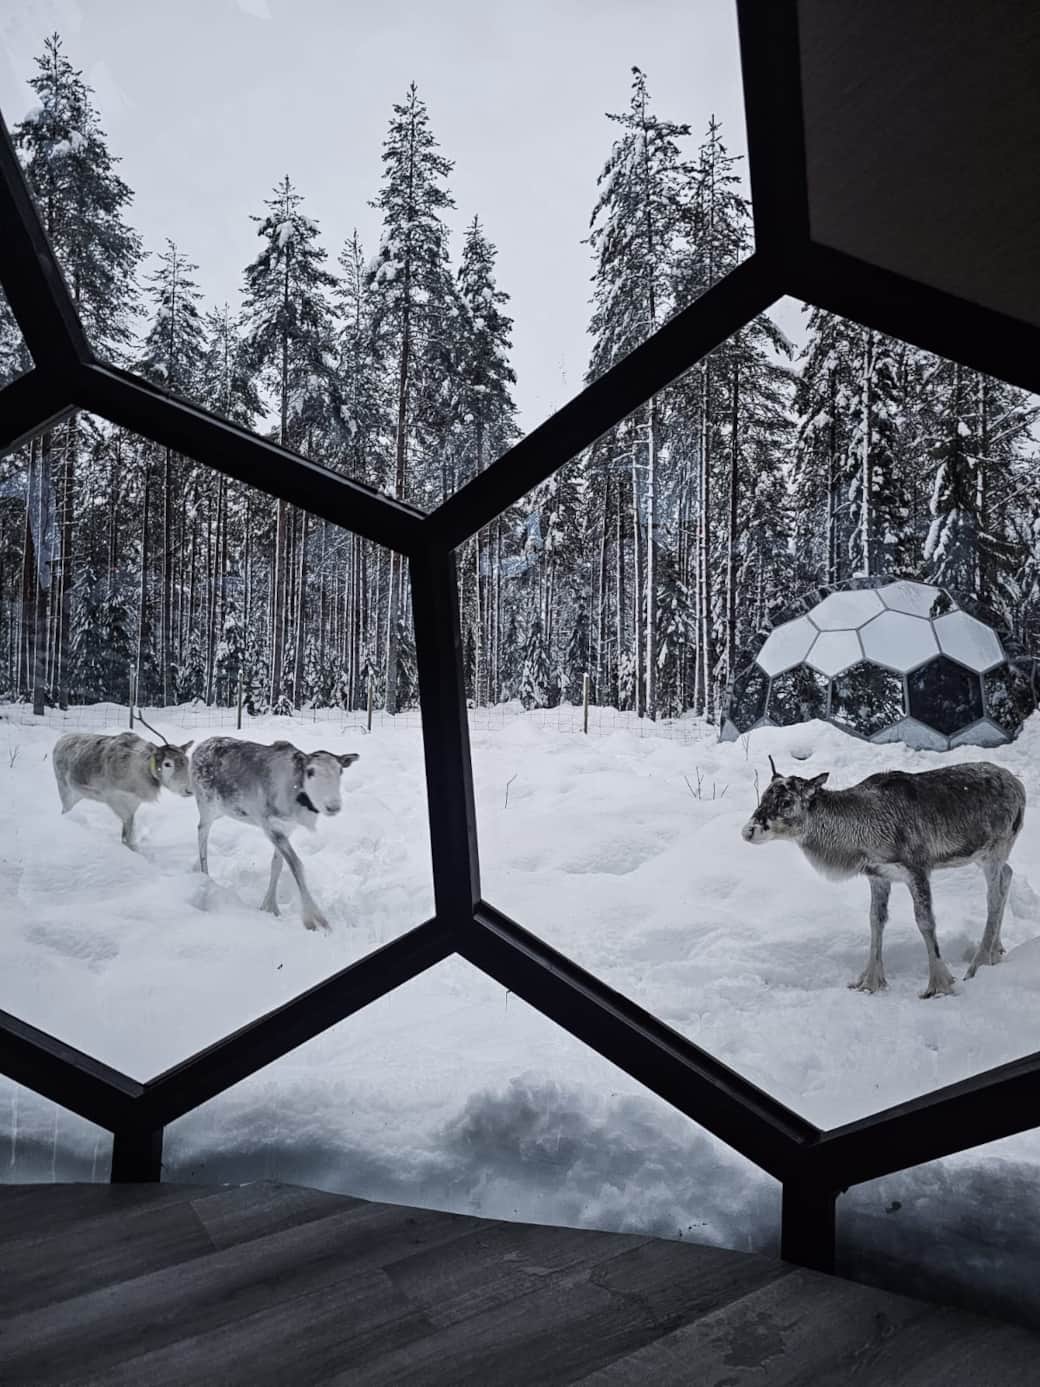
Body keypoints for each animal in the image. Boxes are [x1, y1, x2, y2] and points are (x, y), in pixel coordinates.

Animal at [52, 712, 193, 850]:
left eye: (187, 761)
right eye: (167, 764)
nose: (189, 789)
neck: (144, 771)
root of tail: (59, 742)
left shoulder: (134, 802)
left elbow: (128, 831)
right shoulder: (116, 800)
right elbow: (127, 834)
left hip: (78, 794)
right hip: (64, 788)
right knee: (64, 809)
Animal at [741, 756, 1025, 998]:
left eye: (787, 802)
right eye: (764, 795)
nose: (748, 831)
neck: (861, 836)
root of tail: (1019, 786)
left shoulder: (917, 869)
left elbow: (925, 922)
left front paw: (939, 984)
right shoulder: (878, 875)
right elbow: (875, 920)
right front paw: (870, 981)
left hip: (995, 849)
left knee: (994, 895)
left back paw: (978, 963)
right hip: (987, 856)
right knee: (1007, 876)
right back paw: (996, 951)